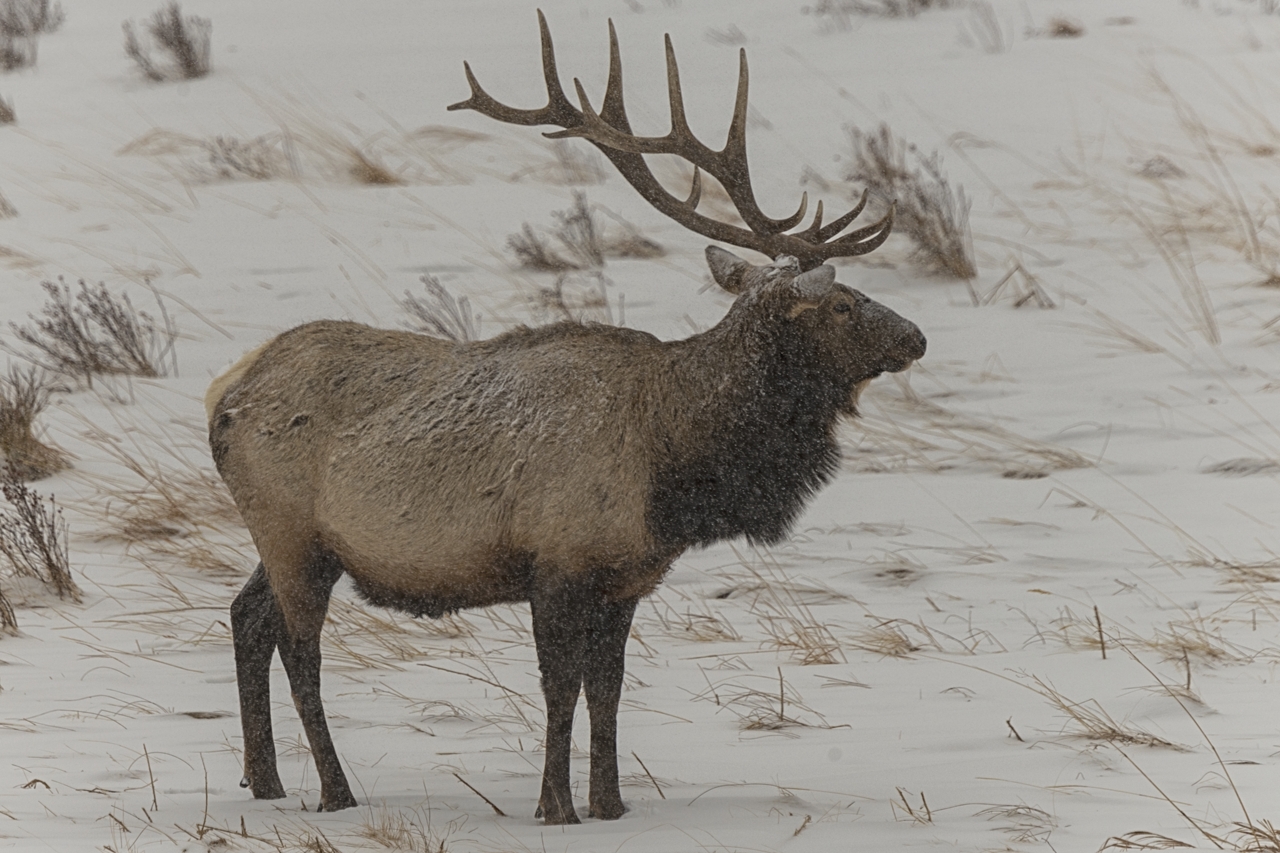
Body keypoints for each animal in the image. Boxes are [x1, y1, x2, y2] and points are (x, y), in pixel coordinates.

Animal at [209, 13, 926, 819]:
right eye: (842, 304)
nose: (916, 337)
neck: (675, 466)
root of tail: (223, 399)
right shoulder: (556, 561)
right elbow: (560, 690)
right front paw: (556, 805)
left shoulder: (625, 577)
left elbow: (606, 690)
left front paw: (611, 805)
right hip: (293, 533)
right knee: (299, 648)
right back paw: (335, 791)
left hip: (294, 540)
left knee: (245, 615)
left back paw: (264, 779)